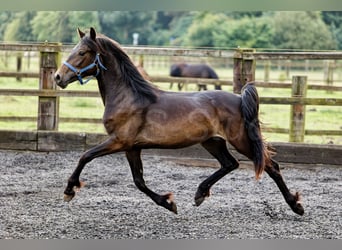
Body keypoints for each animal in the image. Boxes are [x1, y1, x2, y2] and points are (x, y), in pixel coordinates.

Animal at [54, 26, 304, 215]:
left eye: (83, 52)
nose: (58, 77)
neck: (129, 97)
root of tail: (240, 98)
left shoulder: (119, 141)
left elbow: (85, 156)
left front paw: (69, 191)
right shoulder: (132, 147)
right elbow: (139, 181)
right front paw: (168, 203)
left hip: (241, 141)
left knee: (271, 166)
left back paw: (296, 206)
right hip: (212, 141)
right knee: (230, 164)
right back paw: (200, 194)